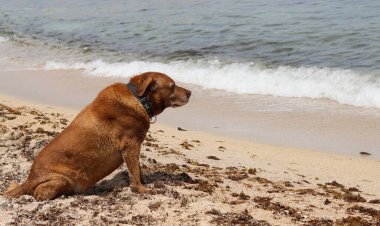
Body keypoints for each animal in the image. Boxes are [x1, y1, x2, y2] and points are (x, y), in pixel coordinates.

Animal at [4, 71, 191, 200]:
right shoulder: (131, 146)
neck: (139, 100)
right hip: (60, 179)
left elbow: (138, 169)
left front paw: (144, 182)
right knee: (39, 194)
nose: (190, 92)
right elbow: (134, 172)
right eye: (173, 85)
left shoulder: (134, 147)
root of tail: (28, 180)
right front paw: (141, 188)